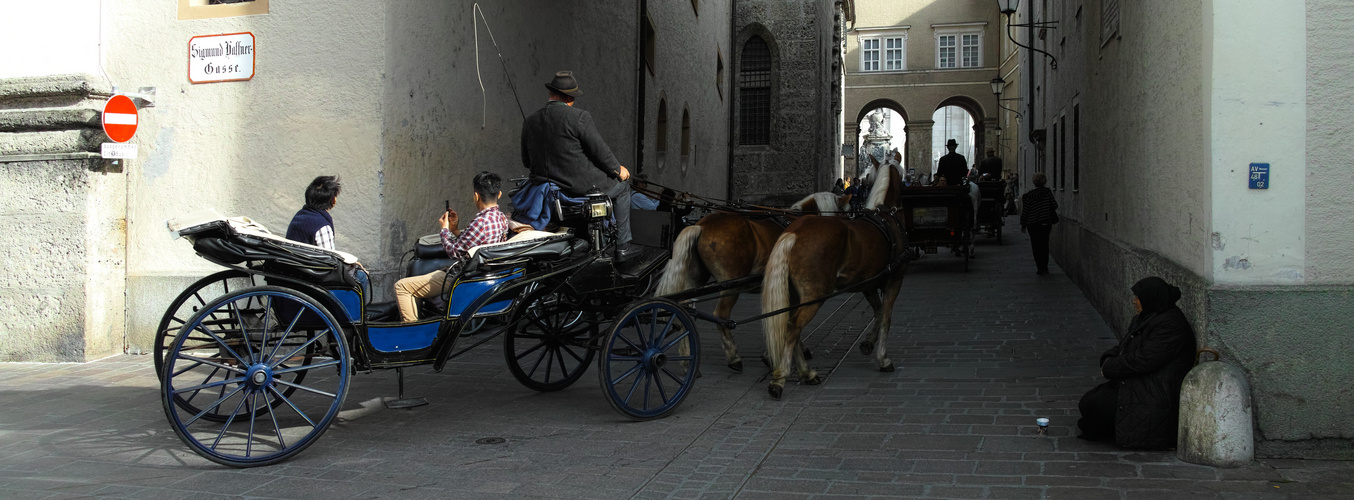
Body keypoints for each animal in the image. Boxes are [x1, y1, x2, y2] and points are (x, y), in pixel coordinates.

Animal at [655, 189, 844, 371]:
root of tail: (701, 225)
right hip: (730, 285)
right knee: (721, 316)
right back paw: (733, 358)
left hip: (695, 279)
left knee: (682, 310)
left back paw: (686, 359)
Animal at [763, 155, 909, 398]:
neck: (886, 215)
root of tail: (795, 231)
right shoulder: (895, 279)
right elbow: (886, 318)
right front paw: (883, 358)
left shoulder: (868, 284)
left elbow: (878, 313)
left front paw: (868, 342)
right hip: (815, 294)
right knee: (793, 327)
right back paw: (781, 379)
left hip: (795, 294)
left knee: (793, 328)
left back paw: (807, 373)